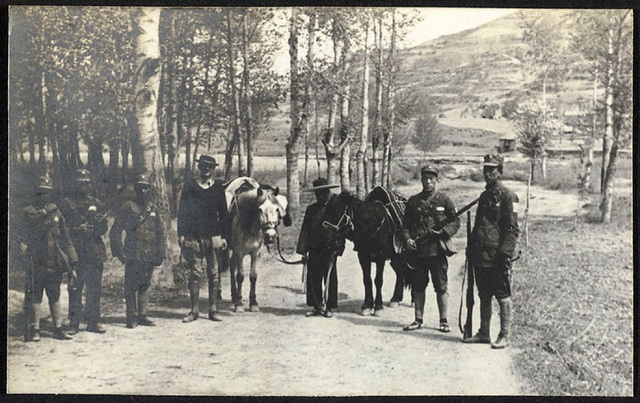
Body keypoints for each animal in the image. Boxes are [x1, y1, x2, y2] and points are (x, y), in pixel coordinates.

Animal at [322, 188, 408, 318]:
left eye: (337, 212)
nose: (326, 236)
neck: (372, 225)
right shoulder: (363, 257)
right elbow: (367, 280)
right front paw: (367, 306)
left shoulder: (380, 258)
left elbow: (378, 280)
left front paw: (378, 307)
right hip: (396, 258)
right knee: (400, 272)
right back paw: (396, 299)